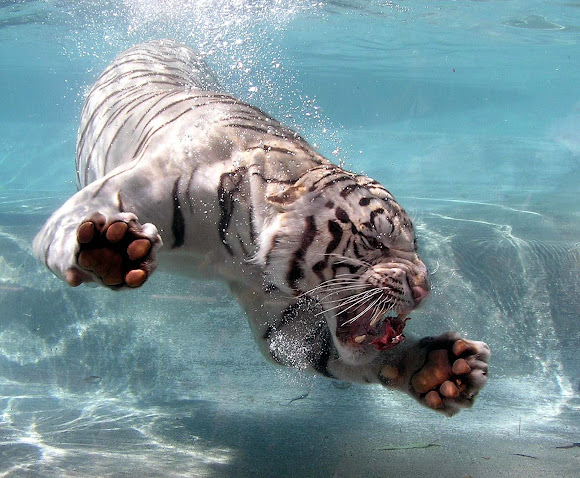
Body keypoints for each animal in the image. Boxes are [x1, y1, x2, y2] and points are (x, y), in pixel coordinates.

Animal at [32, 41, 490, 414]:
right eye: (375, 240)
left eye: (415, 245)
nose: (424, 289)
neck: (238, 251)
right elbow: (70, 227)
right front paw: (111, 247)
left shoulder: (282, 315)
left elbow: (326, 352)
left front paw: (440, 369)